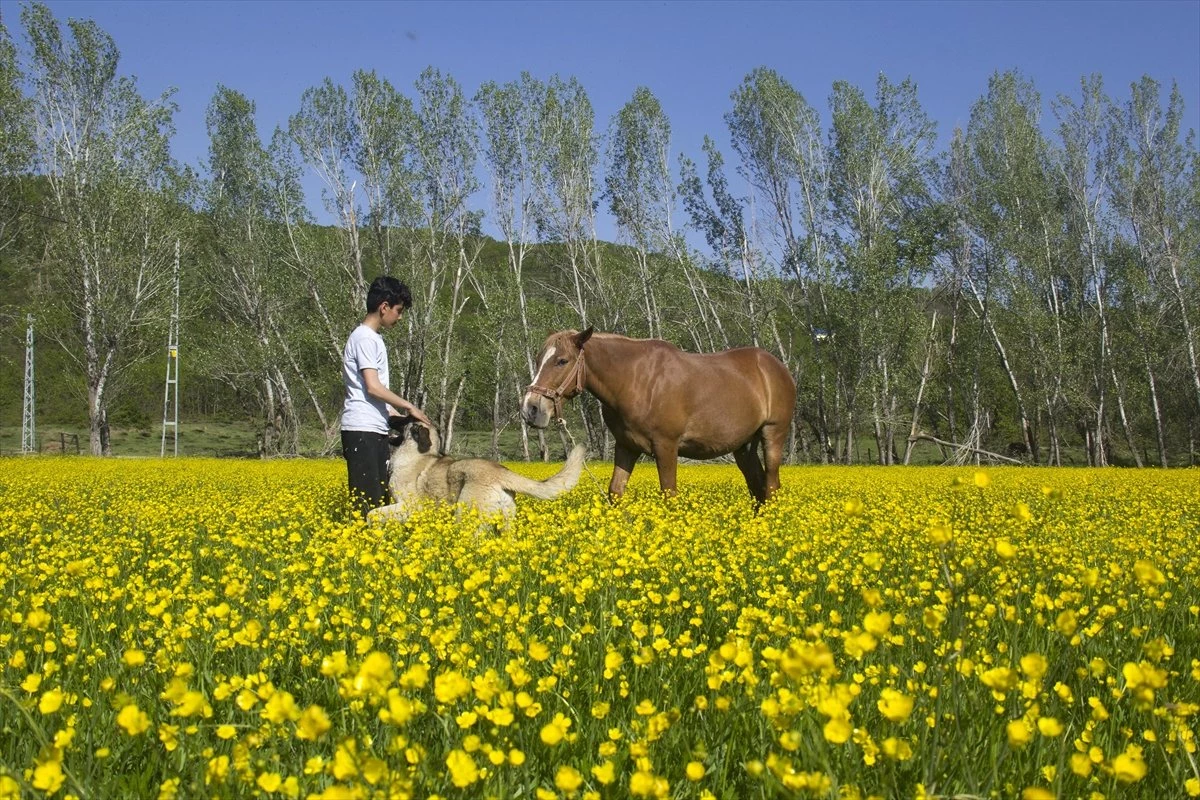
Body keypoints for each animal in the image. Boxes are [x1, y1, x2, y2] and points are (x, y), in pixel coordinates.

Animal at [523, 326, 796, 501]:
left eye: (562, 360)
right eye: (537, 359)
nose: (531, 409)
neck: (635, 381)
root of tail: (776, 367)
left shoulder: (666, 446)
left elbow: (669, 493)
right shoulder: (626, 446)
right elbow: (615, 491)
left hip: (773, 434)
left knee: (771, 486)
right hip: (743, 446)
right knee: (758, 488)